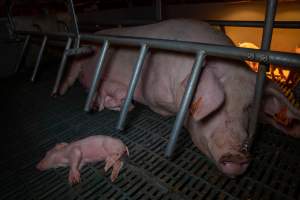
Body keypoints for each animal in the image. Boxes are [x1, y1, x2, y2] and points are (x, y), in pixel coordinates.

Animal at [59, 19, 300, 177]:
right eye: (218, 106)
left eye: (249, 108)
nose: (237, 156)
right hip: (80, 60)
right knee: (71, 73)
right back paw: (60, 92)